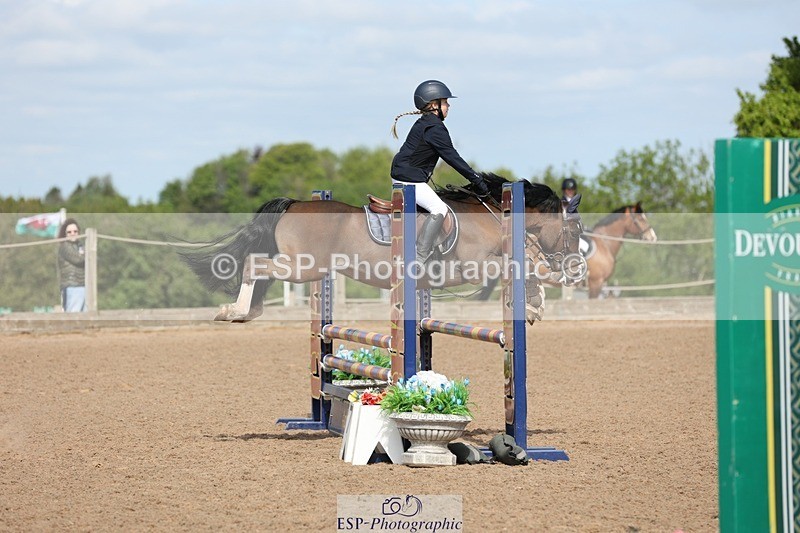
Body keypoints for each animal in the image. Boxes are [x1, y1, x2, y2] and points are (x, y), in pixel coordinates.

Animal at [181, 173, 585, 322]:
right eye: (572, 229)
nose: (575, 267)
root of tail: (294, 203)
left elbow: (525, 266)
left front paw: (534, 303)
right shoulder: (475, 266)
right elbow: (520, 267)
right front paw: (533, 304)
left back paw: (247, 312)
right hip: (304, 266)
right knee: (254, 265)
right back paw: (234, 310)